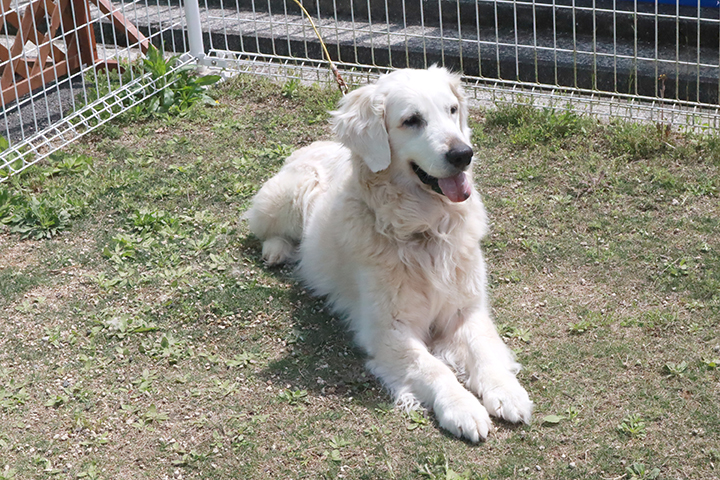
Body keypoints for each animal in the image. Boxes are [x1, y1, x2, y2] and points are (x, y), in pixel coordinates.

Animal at [245, 67, 532, 442]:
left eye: (452, 110)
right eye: (412, 120)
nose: (462, 154)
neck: (425, 229)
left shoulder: (466, 309)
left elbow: (483, 350)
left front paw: (506, 391)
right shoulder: (388, 331)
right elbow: (434, 368)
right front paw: (463, 408)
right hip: (290, 194)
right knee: (262, 227)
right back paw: (277, 250)